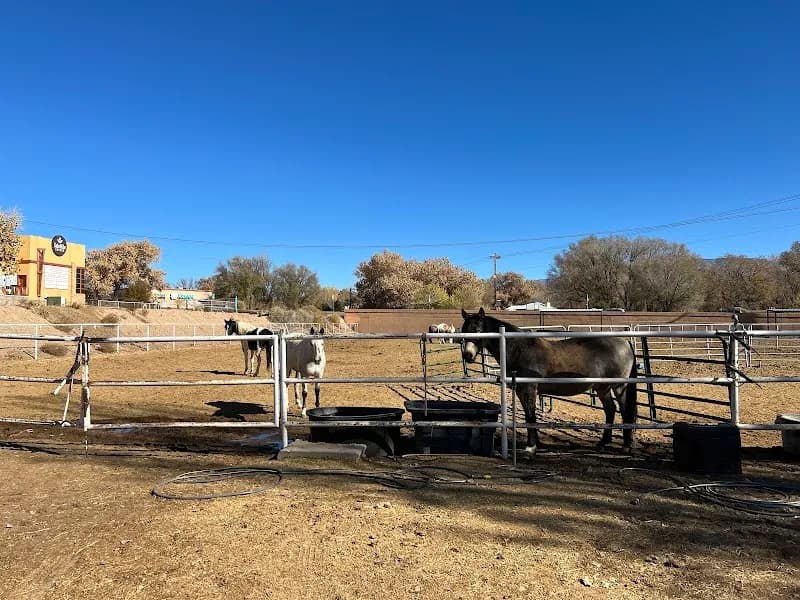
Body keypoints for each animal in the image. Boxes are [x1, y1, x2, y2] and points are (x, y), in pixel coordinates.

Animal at [460, 307, 637, 453]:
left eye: (478, 330)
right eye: (463, 331)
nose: (467, 355)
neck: (518, 349)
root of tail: (625, 342)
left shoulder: (529, 389)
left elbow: (530, 416)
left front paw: (531, 447)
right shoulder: (521, 391)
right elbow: (529, 416)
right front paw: (536, 443)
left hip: (619, 386)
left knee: (624, 410)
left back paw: (627, 445)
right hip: (603, 387)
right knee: (610, 410)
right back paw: (603, 443)